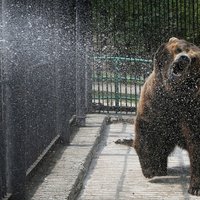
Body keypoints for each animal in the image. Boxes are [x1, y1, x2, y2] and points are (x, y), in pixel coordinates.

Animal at [134, 37, 200, 195]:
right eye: (179, 49)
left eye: (194, 58)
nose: (184, 58)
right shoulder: (155, 102)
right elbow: (147, 133)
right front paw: (150, 169)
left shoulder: (192, 110)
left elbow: (196, 145)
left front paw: (195, 188)